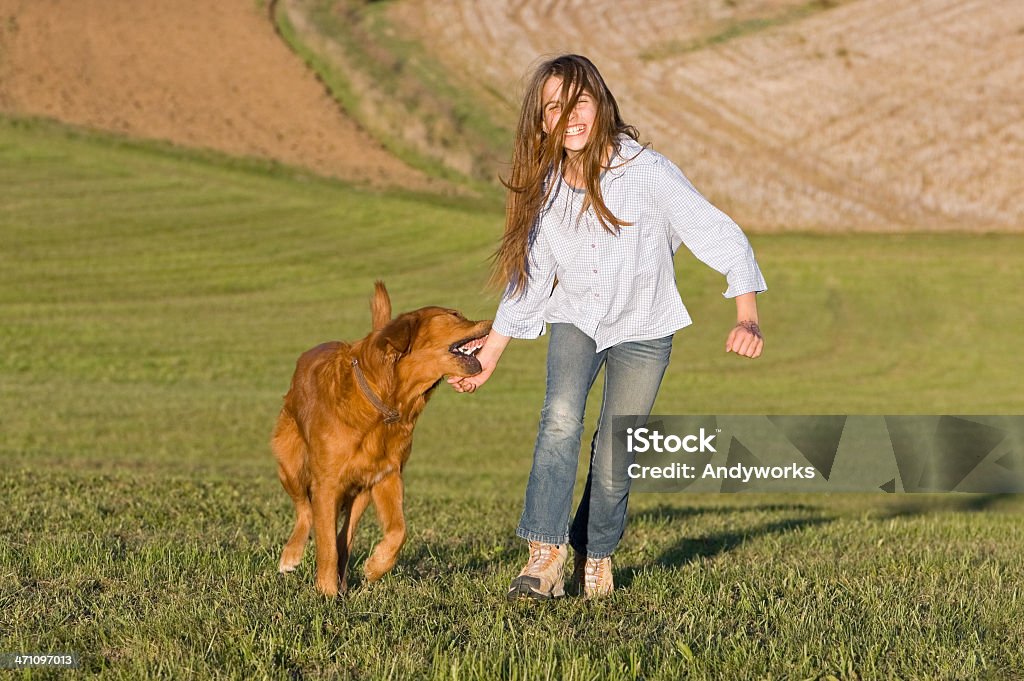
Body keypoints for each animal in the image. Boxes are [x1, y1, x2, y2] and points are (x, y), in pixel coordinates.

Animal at [274, 280, 489, 593]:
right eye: (454, 315)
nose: (493, 320)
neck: (385, 402)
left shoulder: (386, 476)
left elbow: (398, 530)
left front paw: (375, 567)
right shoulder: (327, 484)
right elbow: (326, 545)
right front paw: (325, 593)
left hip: (361, 491)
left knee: (344, 536)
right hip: (290, 464)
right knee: (305, 510)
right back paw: (291, 556)